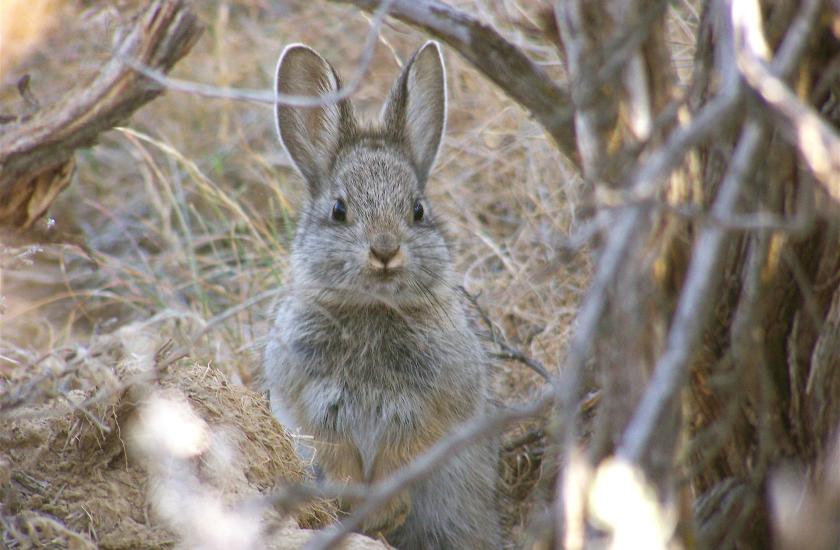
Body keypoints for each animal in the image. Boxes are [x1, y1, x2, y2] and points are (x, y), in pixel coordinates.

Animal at [262, 41, 498, 548]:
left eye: (418, 210)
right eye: (339, 210)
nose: (386, 251)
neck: (373, 307)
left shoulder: (431, 407)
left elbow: (407, 453)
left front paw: (385, 511)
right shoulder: (311, 405)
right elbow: (334, 454)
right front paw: (354, 507)